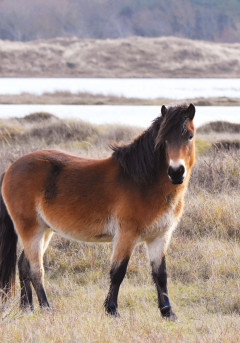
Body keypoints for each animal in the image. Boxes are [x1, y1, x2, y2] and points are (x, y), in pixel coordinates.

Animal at [0, 104, 195, 320]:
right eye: (164, 139)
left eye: (190, 136)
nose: (176, 172)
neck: (142, 181)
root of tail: (11, 168)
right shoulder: (126, 235)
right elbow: (118, 272)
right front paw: (112, 309)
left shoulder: (159, 237)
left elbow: (160, 275)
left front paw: (168, 312)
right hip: (31, 229)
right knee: (36, 269)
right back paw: (46, 307)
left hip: (45, 230)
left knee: (23, 265)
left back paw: (27, 307)